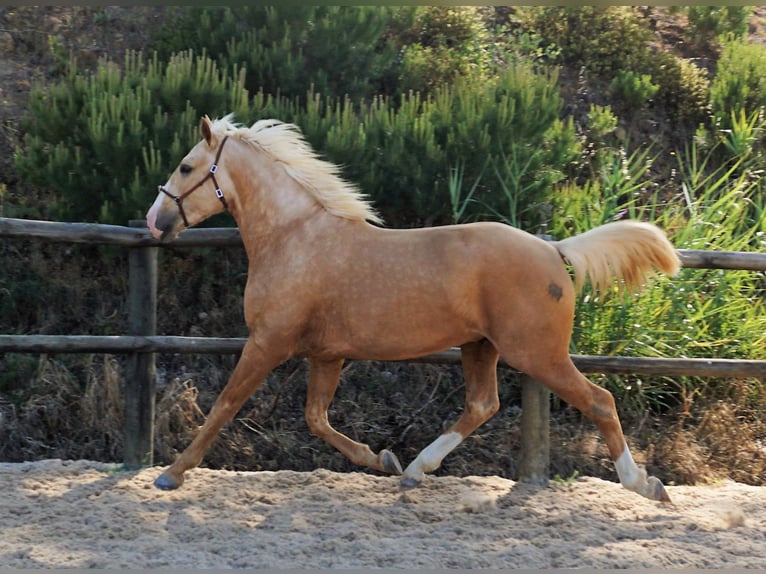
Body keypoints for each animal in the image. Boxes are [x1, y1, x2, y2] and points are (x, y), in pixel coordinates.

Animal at [147, 117, 680, 504]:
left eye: (187, 167)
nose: (155, 221)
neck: (293, 237)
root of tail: (553, 250)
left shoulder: (268, 342)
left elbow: (224, 406)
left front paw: (171, 474)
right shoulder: (326, 354)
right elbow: (317, 418)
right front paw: (382, 459)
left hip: (536, 354)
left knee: (599, 401)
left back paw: (646, 485)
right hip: (479, 347)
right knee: (482, 405)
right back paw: (415, 470)